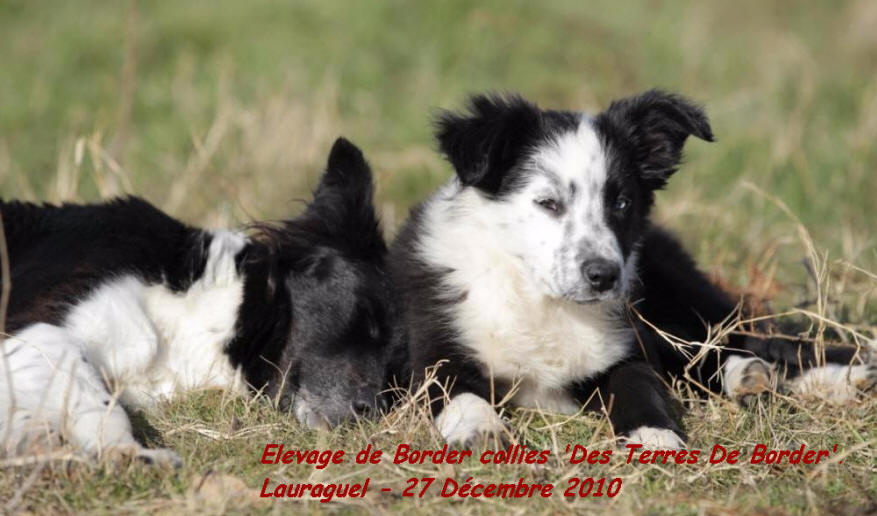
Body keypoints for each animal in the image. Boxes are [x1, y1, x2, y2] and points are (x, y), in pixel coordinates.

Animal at [392, 91, 876, 448]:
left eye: (621, 203)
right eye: (548, 203)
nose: (604, 276)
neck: (541, 300)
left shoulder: (626, 346)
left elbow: (639, 385)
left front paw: (655, 436)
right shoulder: (435, 349)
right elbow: (458, 391)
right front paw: (481, 428)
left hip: (675, 297)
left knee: (736, 340)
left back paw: (837, 375)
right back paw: (752, 377)